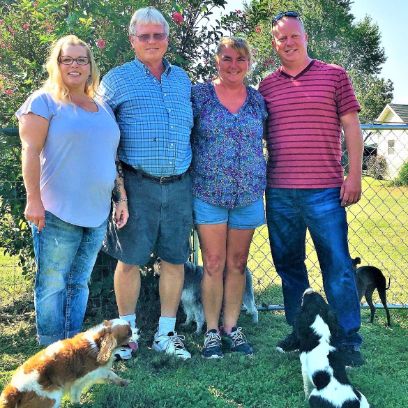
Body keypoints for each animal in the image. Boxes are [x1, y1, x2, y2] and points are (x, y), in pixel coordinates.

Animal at [0, 318, 139, 408]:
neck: (97, 344)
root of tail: (14, 388)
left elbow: (112, 375)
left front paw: (124, 383)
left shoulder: (95, 373)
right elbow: (78, 392)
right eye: (129, 333)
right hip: (52, 397)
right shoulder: (84, 378)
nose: (139, 331)